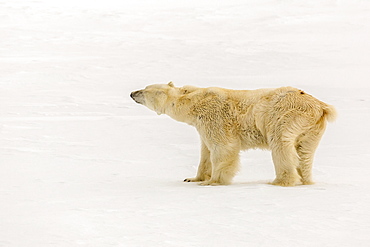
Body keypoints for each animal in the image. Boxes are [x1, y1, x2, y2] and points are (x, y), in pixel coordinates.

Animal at [132, 82, 336, 186]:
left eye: (143, 90)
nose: (131, 93)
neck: (194, 102)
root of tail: (321, 106)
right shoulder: (201, 125)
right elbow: (205, 152)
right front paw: (193, 178)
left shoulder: (214, 116)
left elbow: (222, 147)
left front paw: (213, 181)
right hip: (312, 128)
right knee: (305, 152)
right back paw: (305, 180)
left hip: (287, 114)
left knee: (281, 145)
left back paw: (279, 181)